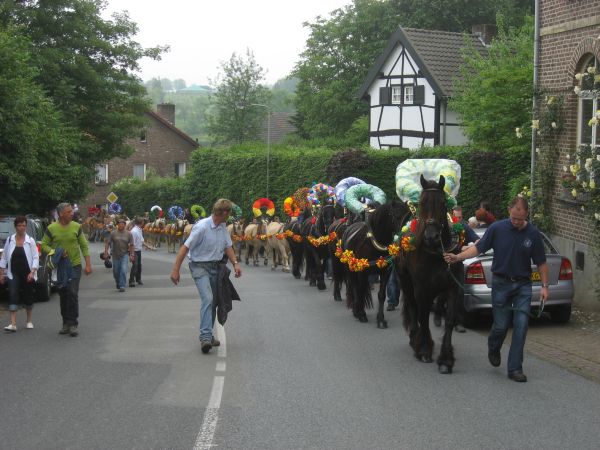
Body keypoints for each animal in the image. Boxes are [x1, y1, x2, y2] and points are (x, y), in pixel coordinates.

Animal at [398, 174, 464, 374]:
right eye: (421, 202)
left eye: (443, 203)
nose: (431, 237)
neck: (437, 252)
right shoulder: (422, 289)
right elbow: (423, 316)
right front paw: (425, 349)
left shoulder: (452, 287)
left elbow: (449, 320)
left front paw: (446, 359)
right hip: (405, 280)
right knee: (413, 307)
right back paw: (415, 338)